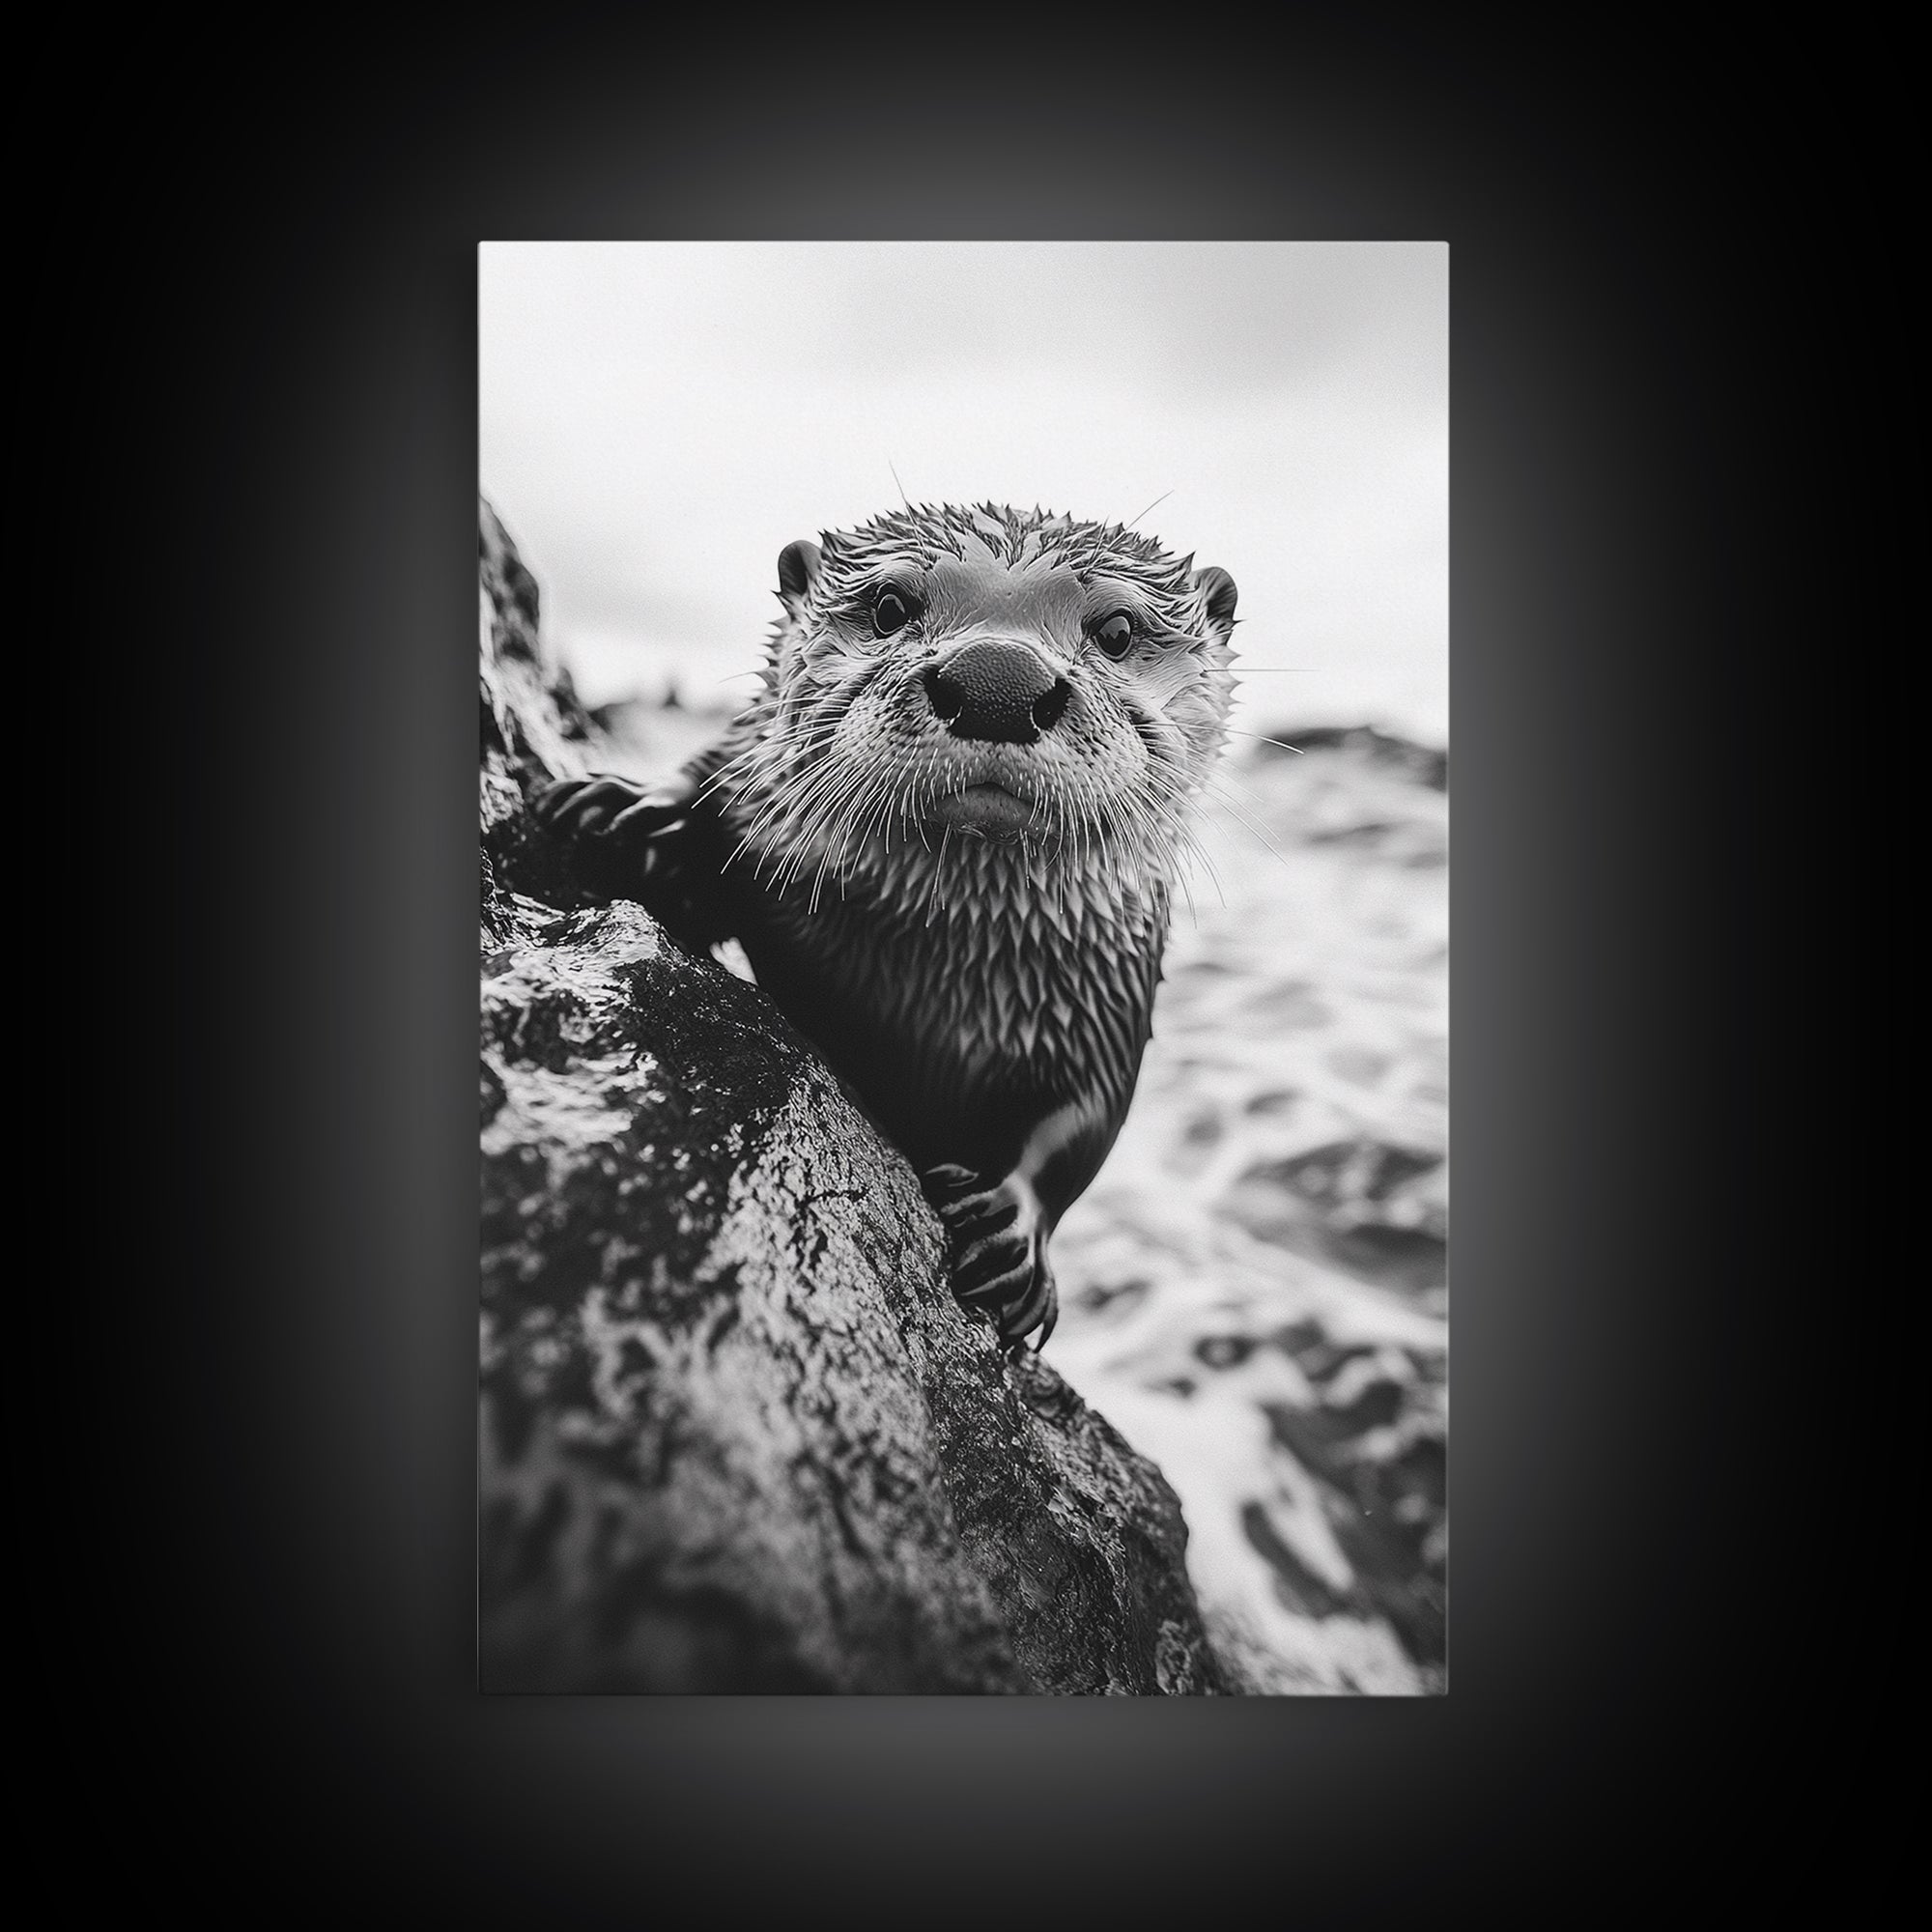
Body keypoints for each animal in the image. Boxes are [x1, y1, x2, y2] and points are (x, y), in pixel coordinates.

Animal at [537, 502, 1238, 1355]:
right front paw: (635, 812)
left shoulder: (1109, 990)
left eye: (1116, 628)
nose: (997, 681)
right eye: (890, 606)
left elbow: (1082, 1122)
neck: (928, 975)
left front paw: (1010, 1232)